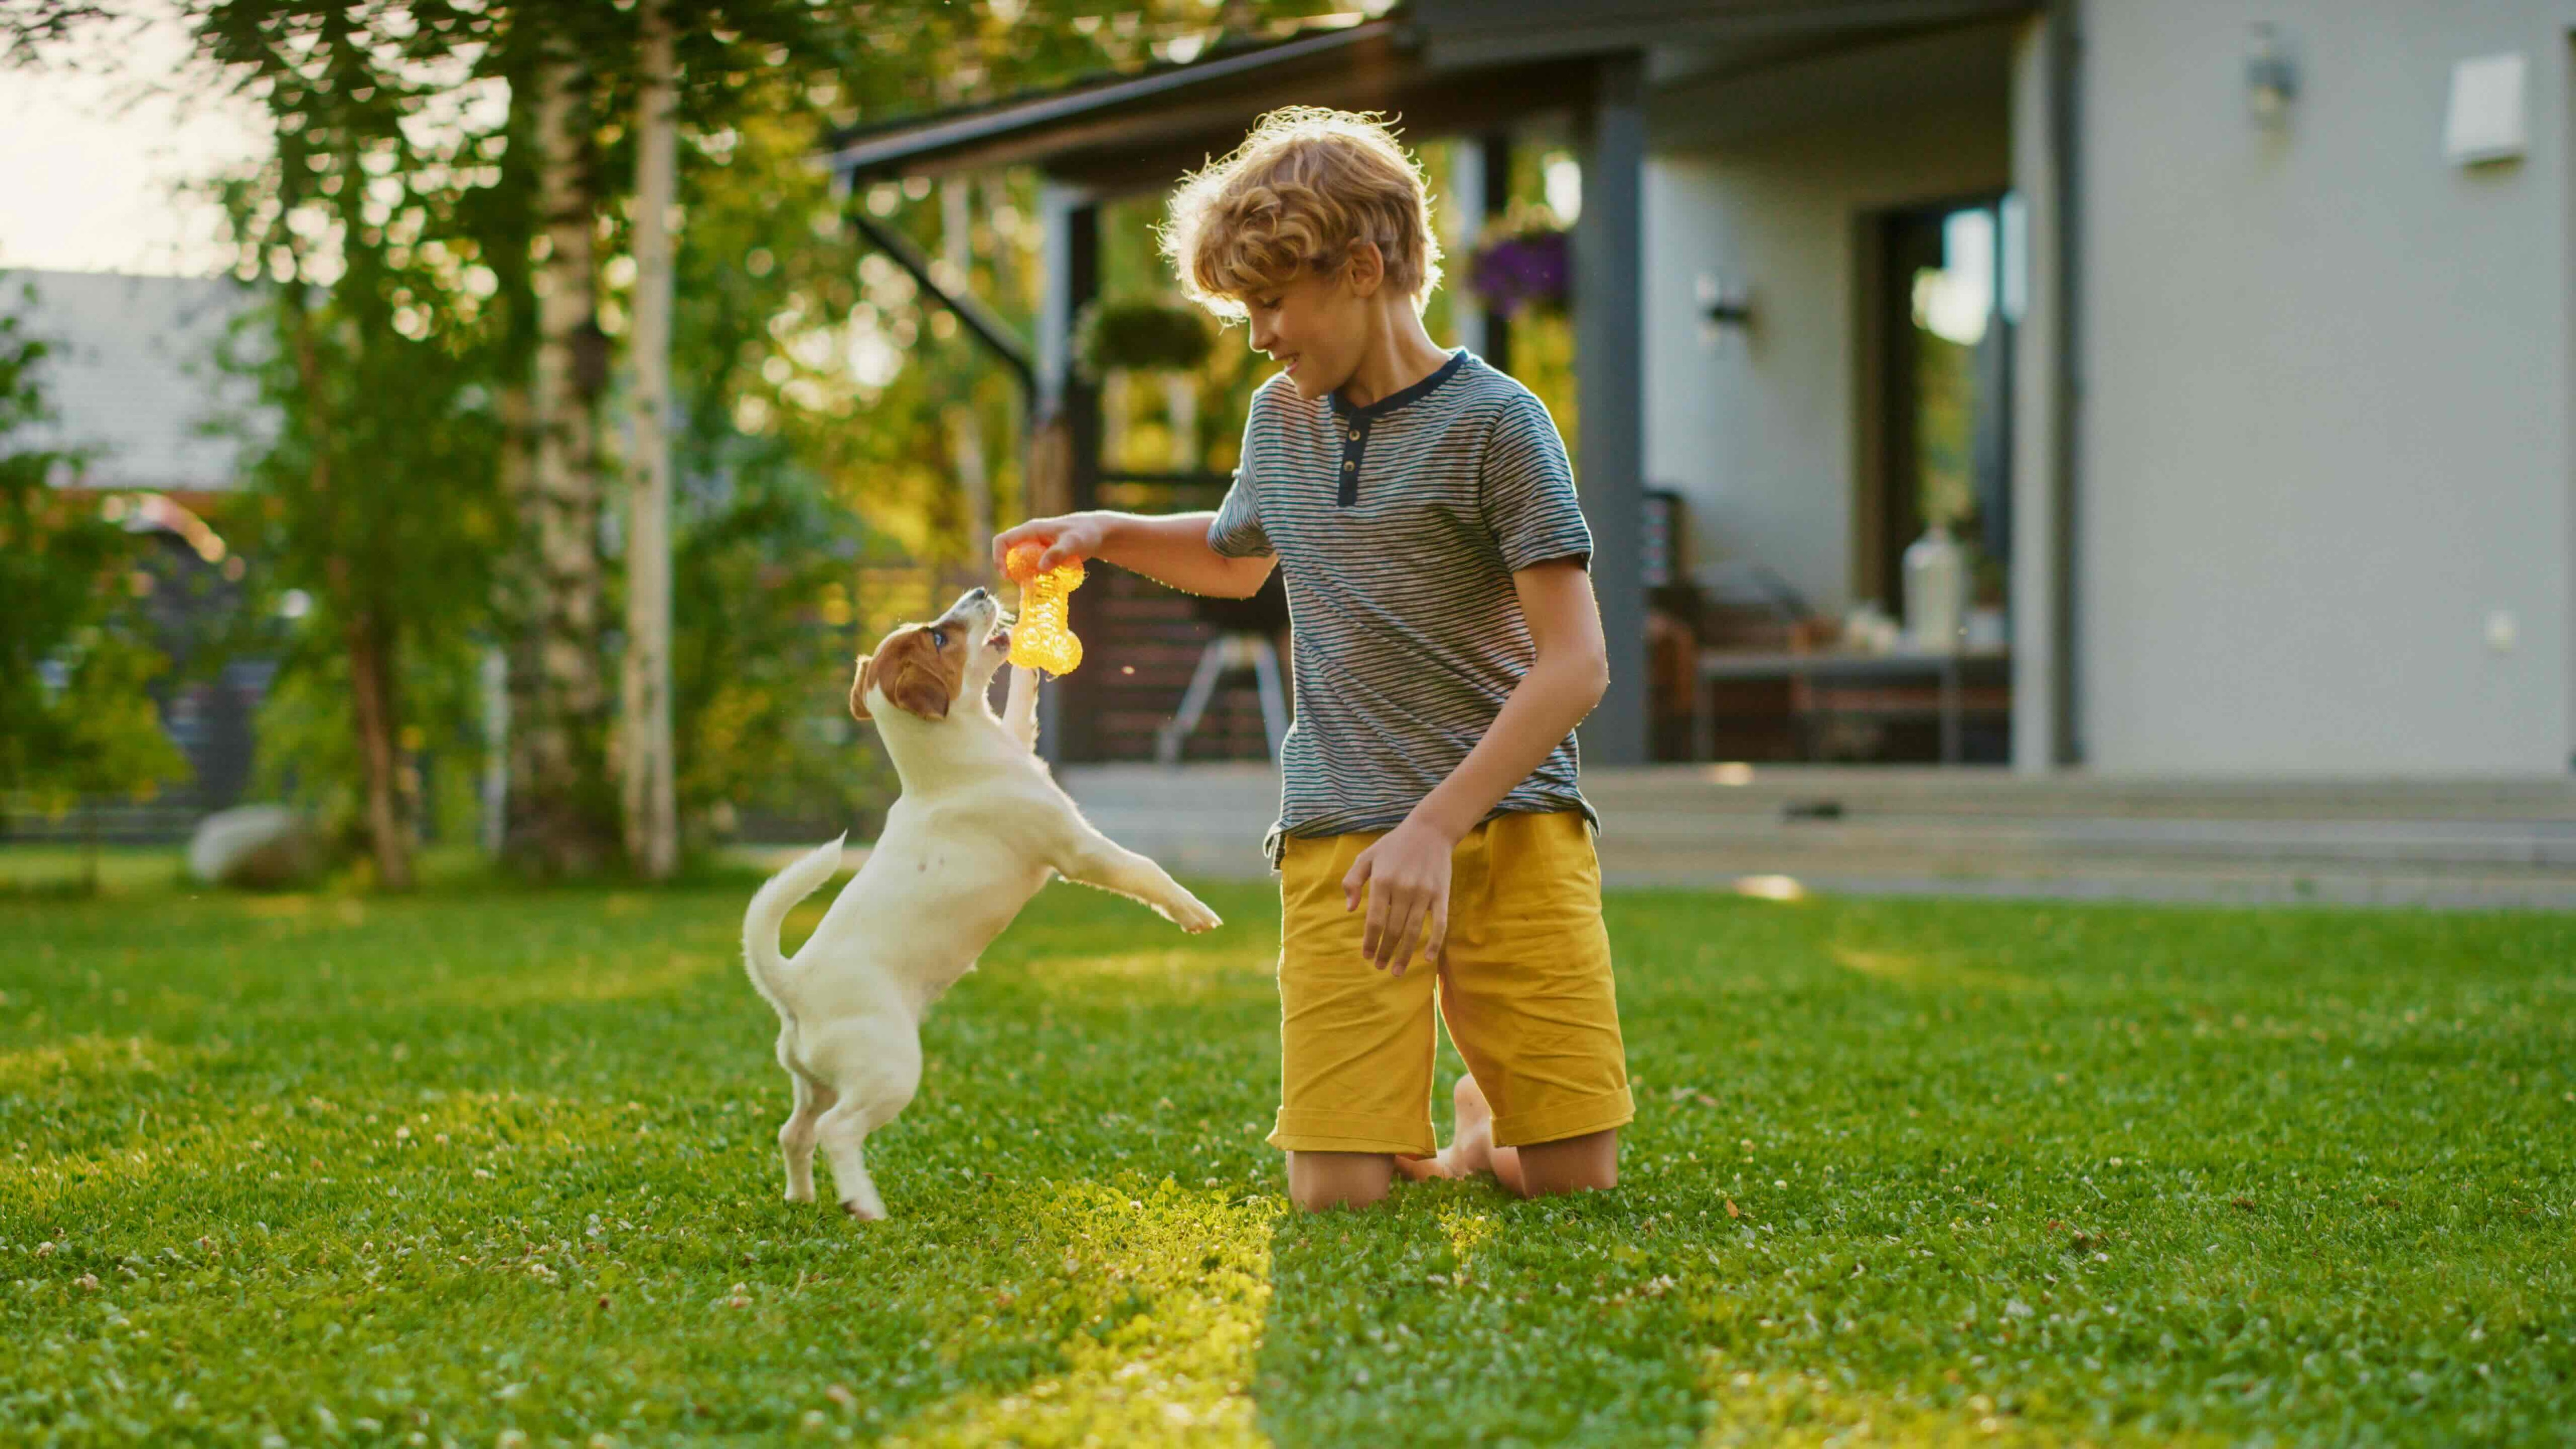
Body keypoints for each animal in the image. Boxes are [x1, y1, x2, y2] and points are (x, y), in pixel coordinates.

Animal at [742, 584, 1221, 1220]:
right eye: (939, 635)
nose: (980, 590)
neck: (949, 761)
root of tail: (792, 985)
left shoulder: (1019, 737)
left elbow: (1021, 701)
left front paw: (1031, 653)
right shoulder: (1076, 850)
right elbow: (1144, 870)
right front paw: (1192, 911)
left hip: (813, 1081)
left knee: (793, 1133)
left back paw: (801, 1196)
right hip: (888, 1072)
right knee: (836, 1132)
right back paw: (863, 1204)